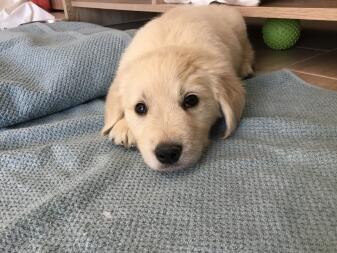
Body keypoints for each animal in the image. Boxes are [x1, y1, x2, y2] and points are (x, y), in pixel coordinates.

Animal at [101, 5, 252, 172]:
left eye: (191, 100)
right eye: (140, 108)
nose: (167, 153)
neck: (167, 44)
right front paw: (124, 126)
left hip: (240, 30)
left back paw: (246, 68)